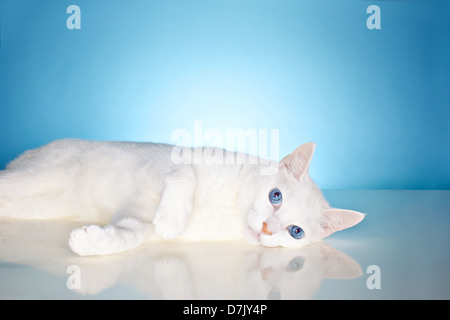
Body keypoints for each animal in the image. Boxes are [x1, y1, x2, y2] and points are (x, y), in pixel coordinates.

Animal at [0, 139, 364, 256]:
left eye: (295, 232)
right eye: (276, 196)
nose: (266, 228)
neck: (230, 206)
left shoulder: (136, 219)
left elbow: (127, 235)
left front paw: (89, 243)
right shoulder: (170, 161)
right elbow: (185, 176)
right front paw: (171, 219)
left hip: (38, 206)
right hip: (37, 176)